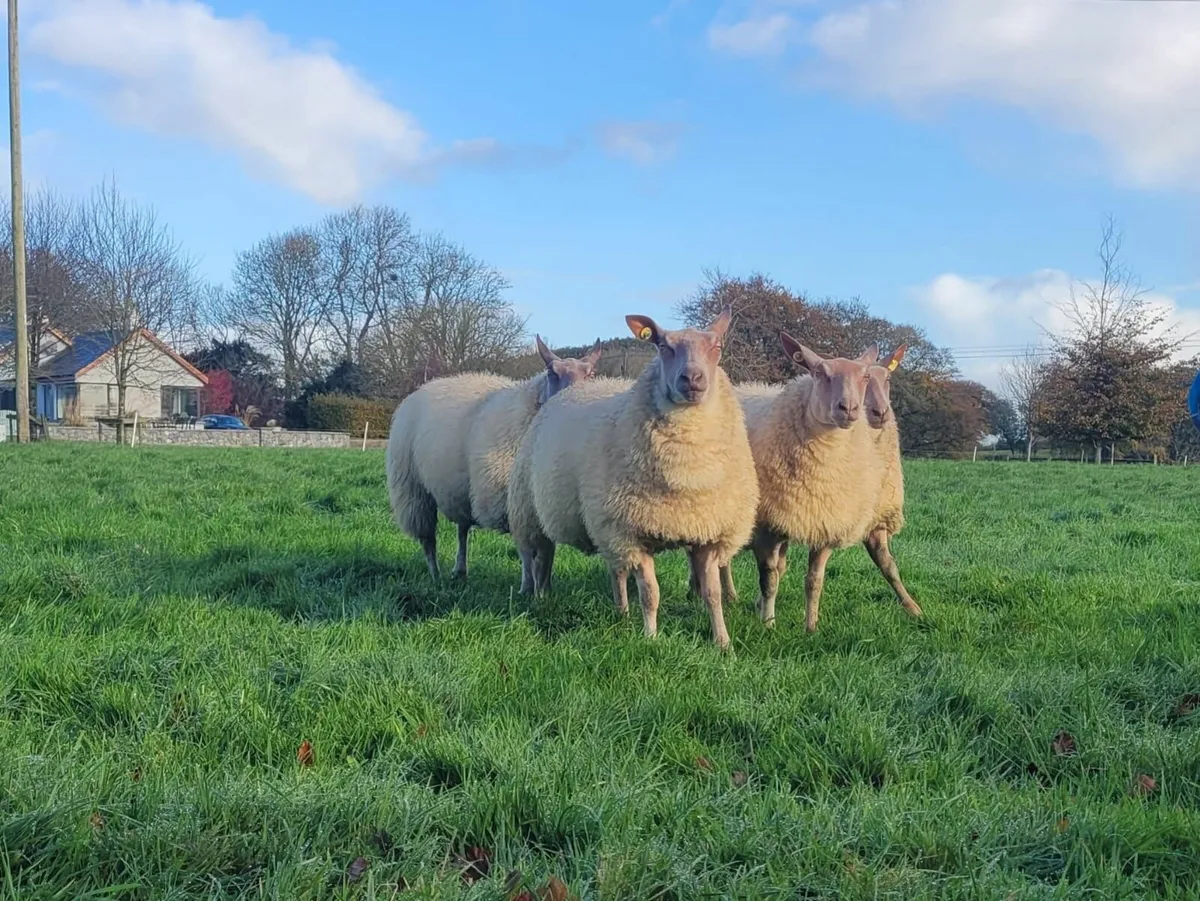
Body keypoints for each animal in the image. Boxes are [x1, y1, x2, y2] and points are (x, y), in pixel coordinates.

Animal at [386, 337, 602, 580]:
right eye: (551, 372)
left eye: (591, 374)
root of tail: (425, 386)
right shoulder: (512, 502)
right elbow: (527, 553)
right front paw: (529, 583)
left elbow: (547, 552)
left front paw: (544, 583)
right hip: (412, 488)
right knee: (427, 538)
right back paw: (435, 575)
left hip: (460, 490)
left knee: (462, 529)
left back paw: (460, 569)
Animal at [507, 308, 758, 649]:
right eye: (662, 346)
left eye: (717, 346)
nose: (692, 379)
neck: (687, 473)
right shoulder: (633, 534)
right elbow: (650, 594)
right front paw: (651, 637)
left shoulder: (708, 533)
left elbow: (712, 594)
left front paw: (723, 642)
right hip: (533, 510)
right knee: (538, 556)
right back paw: (538, 596)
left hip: (603, 523)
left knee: (613, 570)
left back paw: (620, 612)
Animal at [705, 333, 923, 633]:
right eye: (820, 373)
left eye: (881, 378)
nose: (877, 412)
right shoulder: (767, 527)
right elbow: (769, 579)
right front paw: (768, 623)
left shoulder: (835, 521)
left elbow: (824, 579)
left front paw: (811, 627)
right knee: (724, 559)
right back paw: (723, 595)